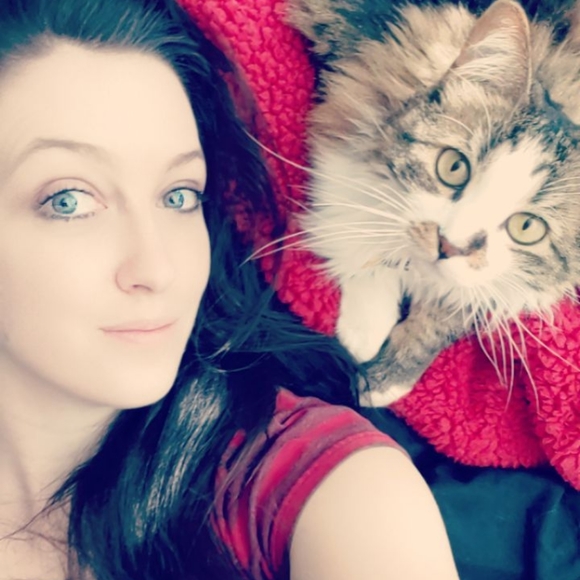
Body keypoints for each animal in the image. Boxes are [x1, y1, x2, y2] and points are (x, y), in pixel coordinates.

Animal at [286, 0, 580, 405]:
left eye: (527, 227)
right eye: (453, 167)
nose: (448, 245)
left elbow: (456, 307)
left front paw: (389, 375)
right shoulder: (347, 115)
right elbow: (361, 217)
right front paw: (366, 325)